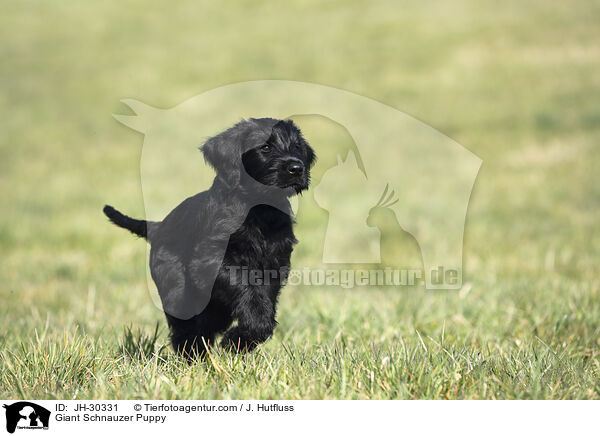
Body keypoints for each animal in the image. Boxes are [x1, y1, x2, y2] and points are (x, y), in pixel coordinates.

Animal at [104, 118, 314, 358]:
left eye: (297, 146)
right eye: (266, 147)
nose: (297, 168)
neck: (258, 208)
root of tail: (159, 227)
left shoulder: (275, 265)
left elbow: (262, 306)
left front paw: (240, 340)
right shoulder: (211, 260)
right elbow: (246, 288)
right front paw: (236, 340)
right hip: (177, 288)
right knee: (185, 324)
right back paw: (192, 354)